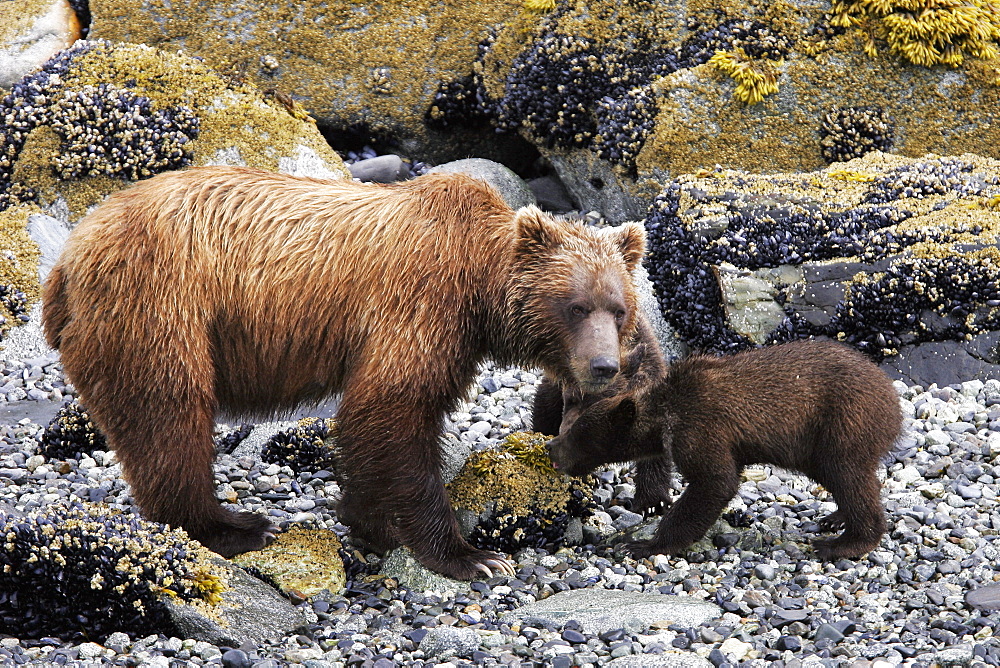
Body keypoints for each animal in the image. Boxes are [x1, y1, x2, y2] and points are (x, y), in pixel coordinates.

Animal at [43, 167, 644, 580]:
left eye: (618, 308)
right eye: (575, 306)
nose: (604, 366)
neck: (478, 283)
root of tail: (68, 257)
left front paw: (367, 519)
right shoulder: (419, 302)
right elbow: (392, 407)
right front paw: (471, 555)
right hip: (159, 305)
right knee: (168, 416)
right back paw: (234, 526)